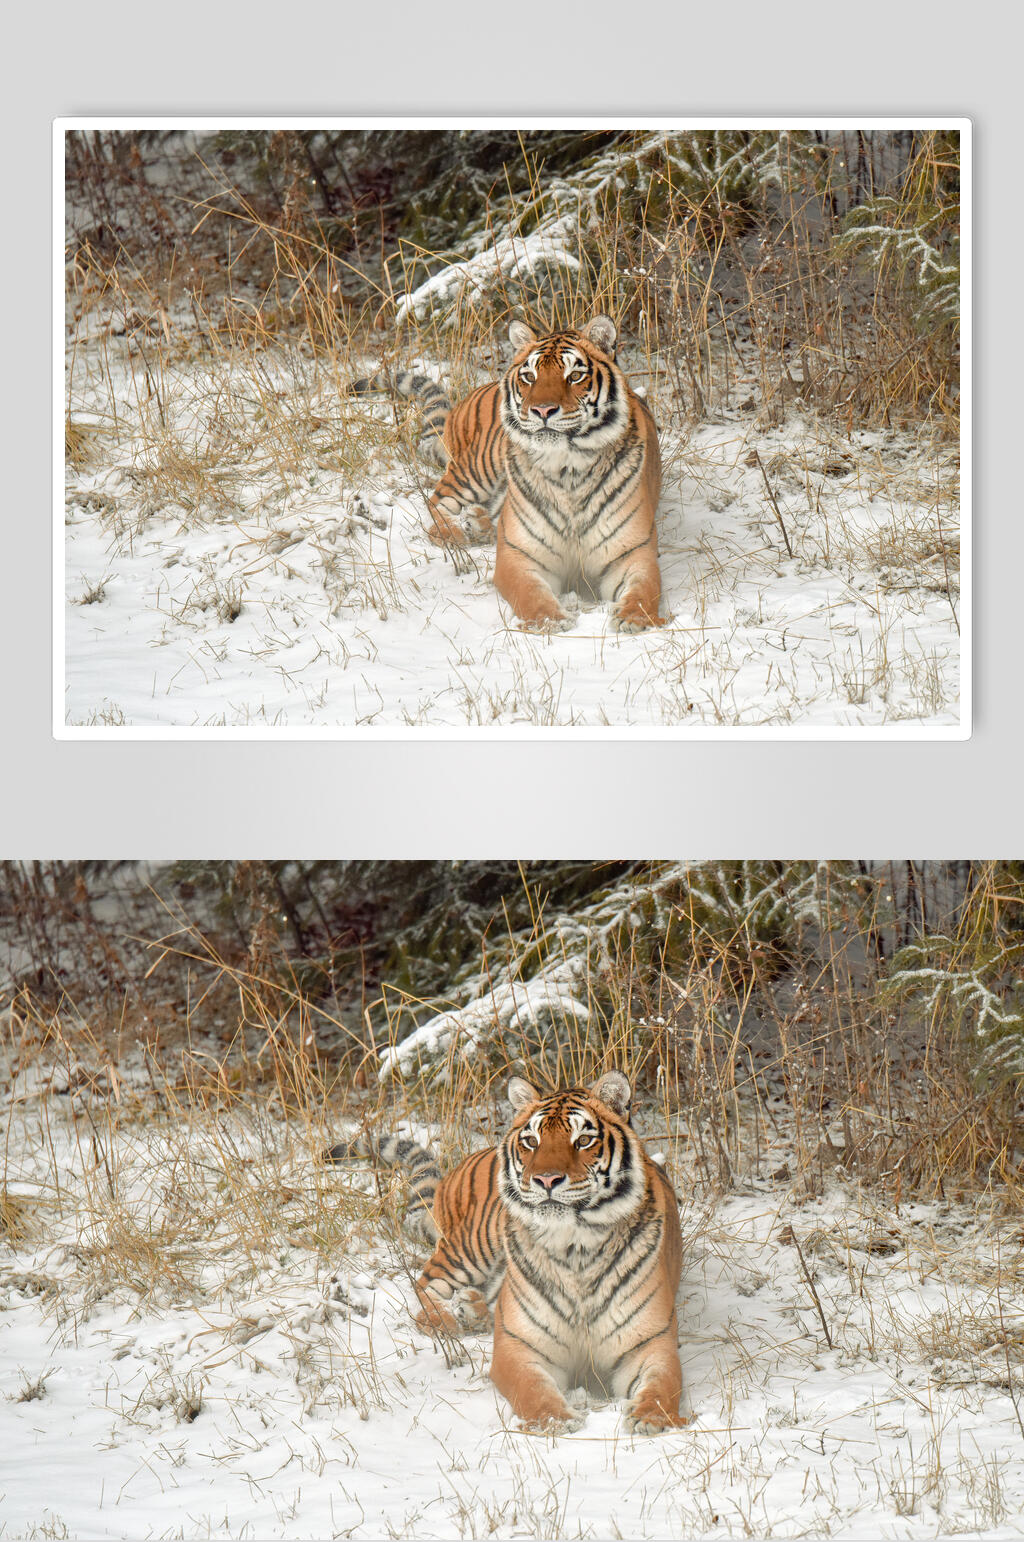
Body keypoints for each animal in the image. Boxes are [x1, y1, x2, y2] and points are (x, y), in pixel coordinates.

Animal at [325, 1071, 685, 1434]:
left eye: (583, 1140)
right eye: (532, 1141)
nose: (546, 1180)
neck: (576, 1246)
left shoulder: (652, 1344)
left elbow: (661, 1386)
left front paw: (649, 1419)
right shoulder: (518, 1346)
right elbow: (533, 1389)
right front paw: (556, 1421)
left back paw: (471, 1309)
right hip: (470, 1247)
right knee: (425, 1284)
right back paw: (448, 1321)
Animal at [351, 316, 666, 631]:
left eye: (575, 375)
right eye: (529, 376)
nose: (542, 410)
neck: (568, 468)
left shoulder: (634, 552)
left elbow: (644, 590)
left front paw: (633, 619)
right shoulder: (518, 555)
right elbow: (530, 593)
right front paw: (550, 620)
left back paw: (478, 524)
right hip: (477, 468)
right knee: (436, 501)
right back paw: (457, 532)